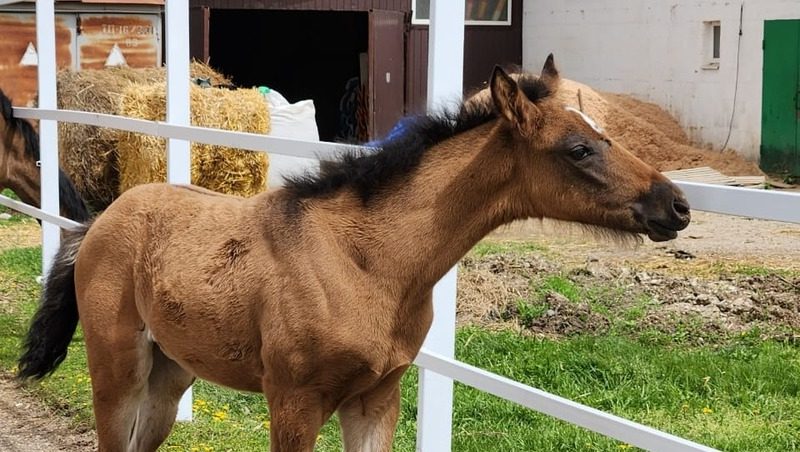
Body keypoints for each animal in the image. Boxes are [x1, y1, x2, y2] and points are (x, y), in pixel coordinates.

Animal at [15, 56, 688, 452]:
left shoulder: (377, 399)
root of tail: (98, 222)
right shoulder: (294, 403)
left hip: (171, 372)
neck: (365, 263)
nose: (676, 205)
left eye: (603, 133)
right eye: (579, 149)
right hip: (117, 366)